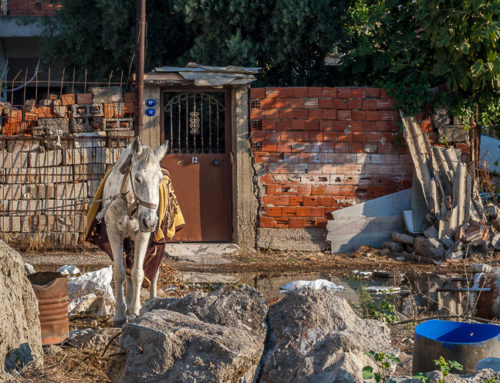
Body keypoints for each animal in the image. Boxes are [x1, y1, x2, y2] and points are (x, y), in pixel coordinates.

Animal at [100, 136, 169, 326]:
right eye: (137, 179)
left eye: (159, 179)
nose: (150, 221)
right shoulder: (114, 233)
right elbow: (120, 273)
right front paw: (120, 314)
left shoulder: (142, 235)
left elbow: (139, 273)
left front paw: (136, 311)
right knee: (129, 270)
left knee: (154, 272)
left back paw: (151, 302)